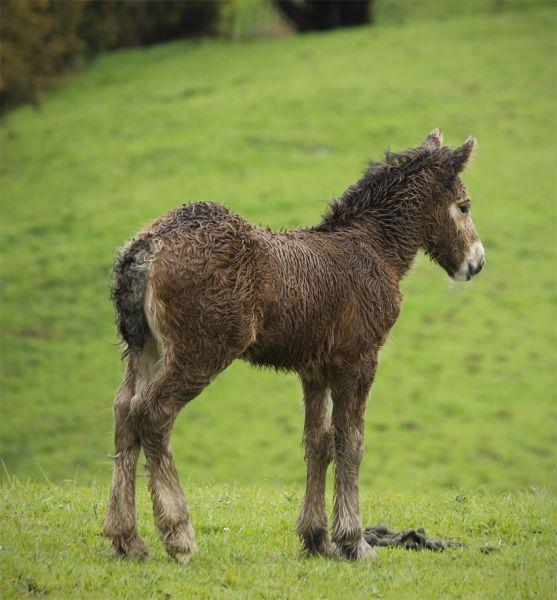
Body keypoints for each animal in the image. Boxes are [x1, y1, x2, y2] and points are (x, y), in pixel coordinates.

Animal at [103, 127, 482, 564]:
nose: (476, 263)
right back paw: (179, 535)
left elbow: (318, 441)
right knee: (154, 414)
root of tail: (145, 249)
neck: (376, 250)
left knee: (125, 411)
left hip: (144, 348)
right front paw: (355, 541)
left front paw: (317, 538)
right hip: (200, 351)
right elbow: (351, 441)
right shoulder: (359, 358)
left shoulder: (315, 367)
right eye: (464, 206)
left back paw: (126, 538)